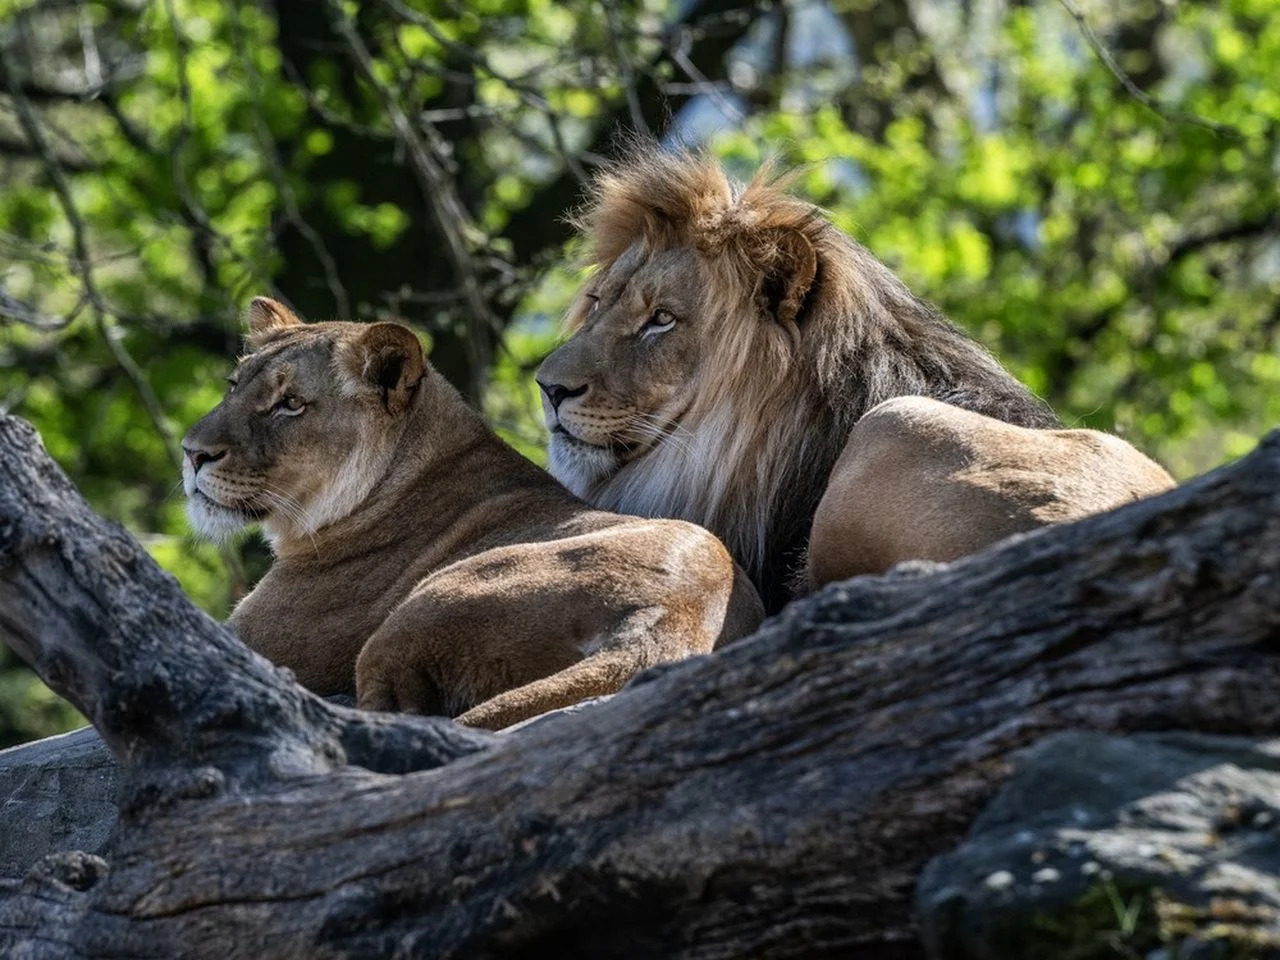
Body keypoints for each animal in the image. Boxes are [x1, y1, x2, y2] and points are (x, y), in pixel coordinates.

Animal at [181, 296, 762, 729]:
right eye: (233, 386)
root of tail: (668, 620)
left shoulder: (252, 643)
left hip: (424, 606)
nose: (191, 452)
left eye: (290, 404)